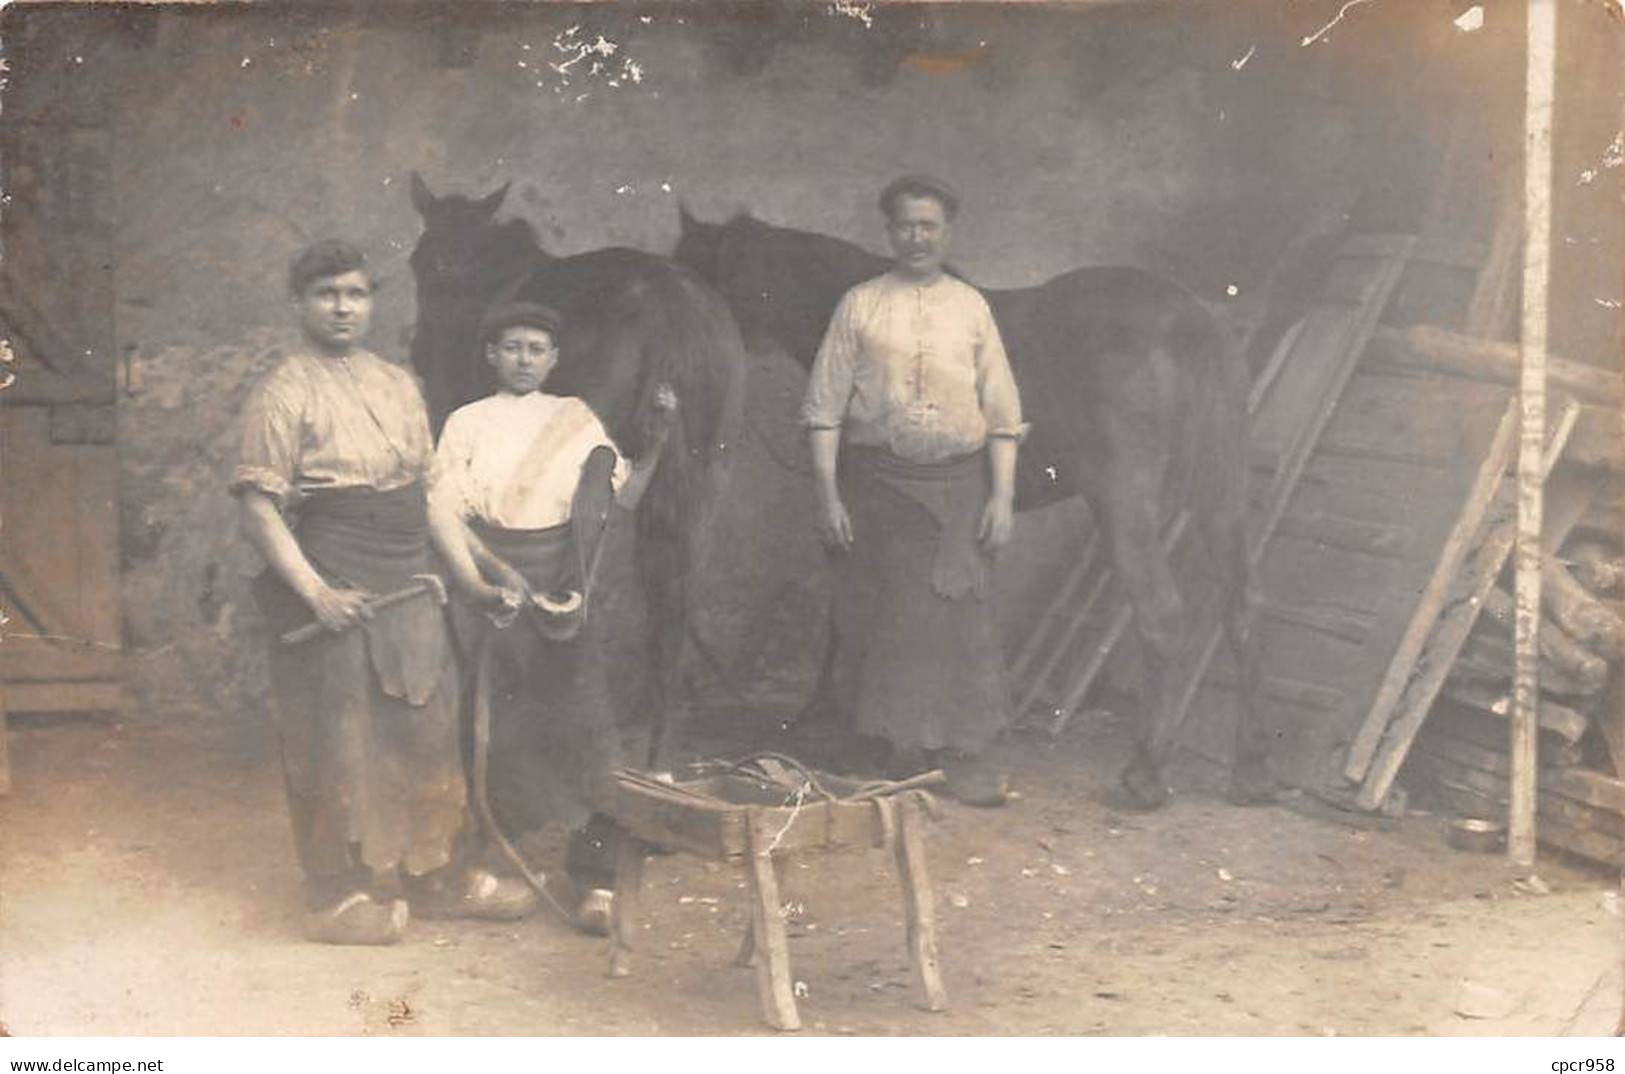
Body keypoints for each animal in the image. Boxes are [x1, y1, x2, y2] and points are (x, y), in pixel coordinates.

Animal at [672, 205, 1267, 809]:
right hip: (1220, 496)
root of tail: (1194, 324)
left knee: (1163, 616)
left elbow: (846, 613)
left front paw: (827, 716)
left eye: (691, 273)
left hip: (1125, 504)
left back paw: (1144, 774)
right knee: (1242, 612)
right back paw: (1248, 772)